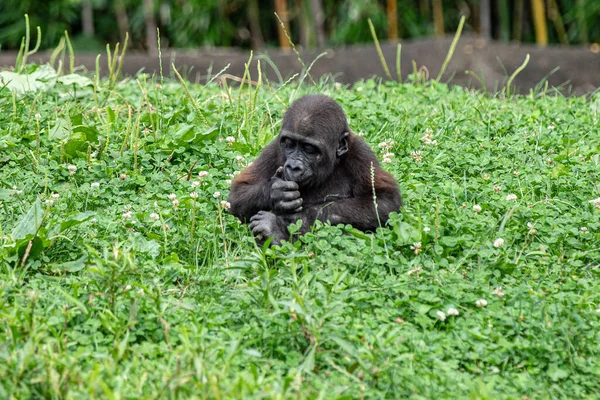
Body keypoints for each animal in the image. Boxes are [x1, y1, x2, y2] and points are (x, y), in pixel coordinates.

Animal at [227, 94, 400, 244]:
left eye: (309, 149)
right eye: (289, 144)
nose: (293, 167)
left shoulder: (361, 154)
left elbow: (383, 201)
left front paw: (297, 218)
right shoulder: (274, 149)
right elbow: (237, 196)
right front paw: (276, 193)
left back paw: (274, 232)